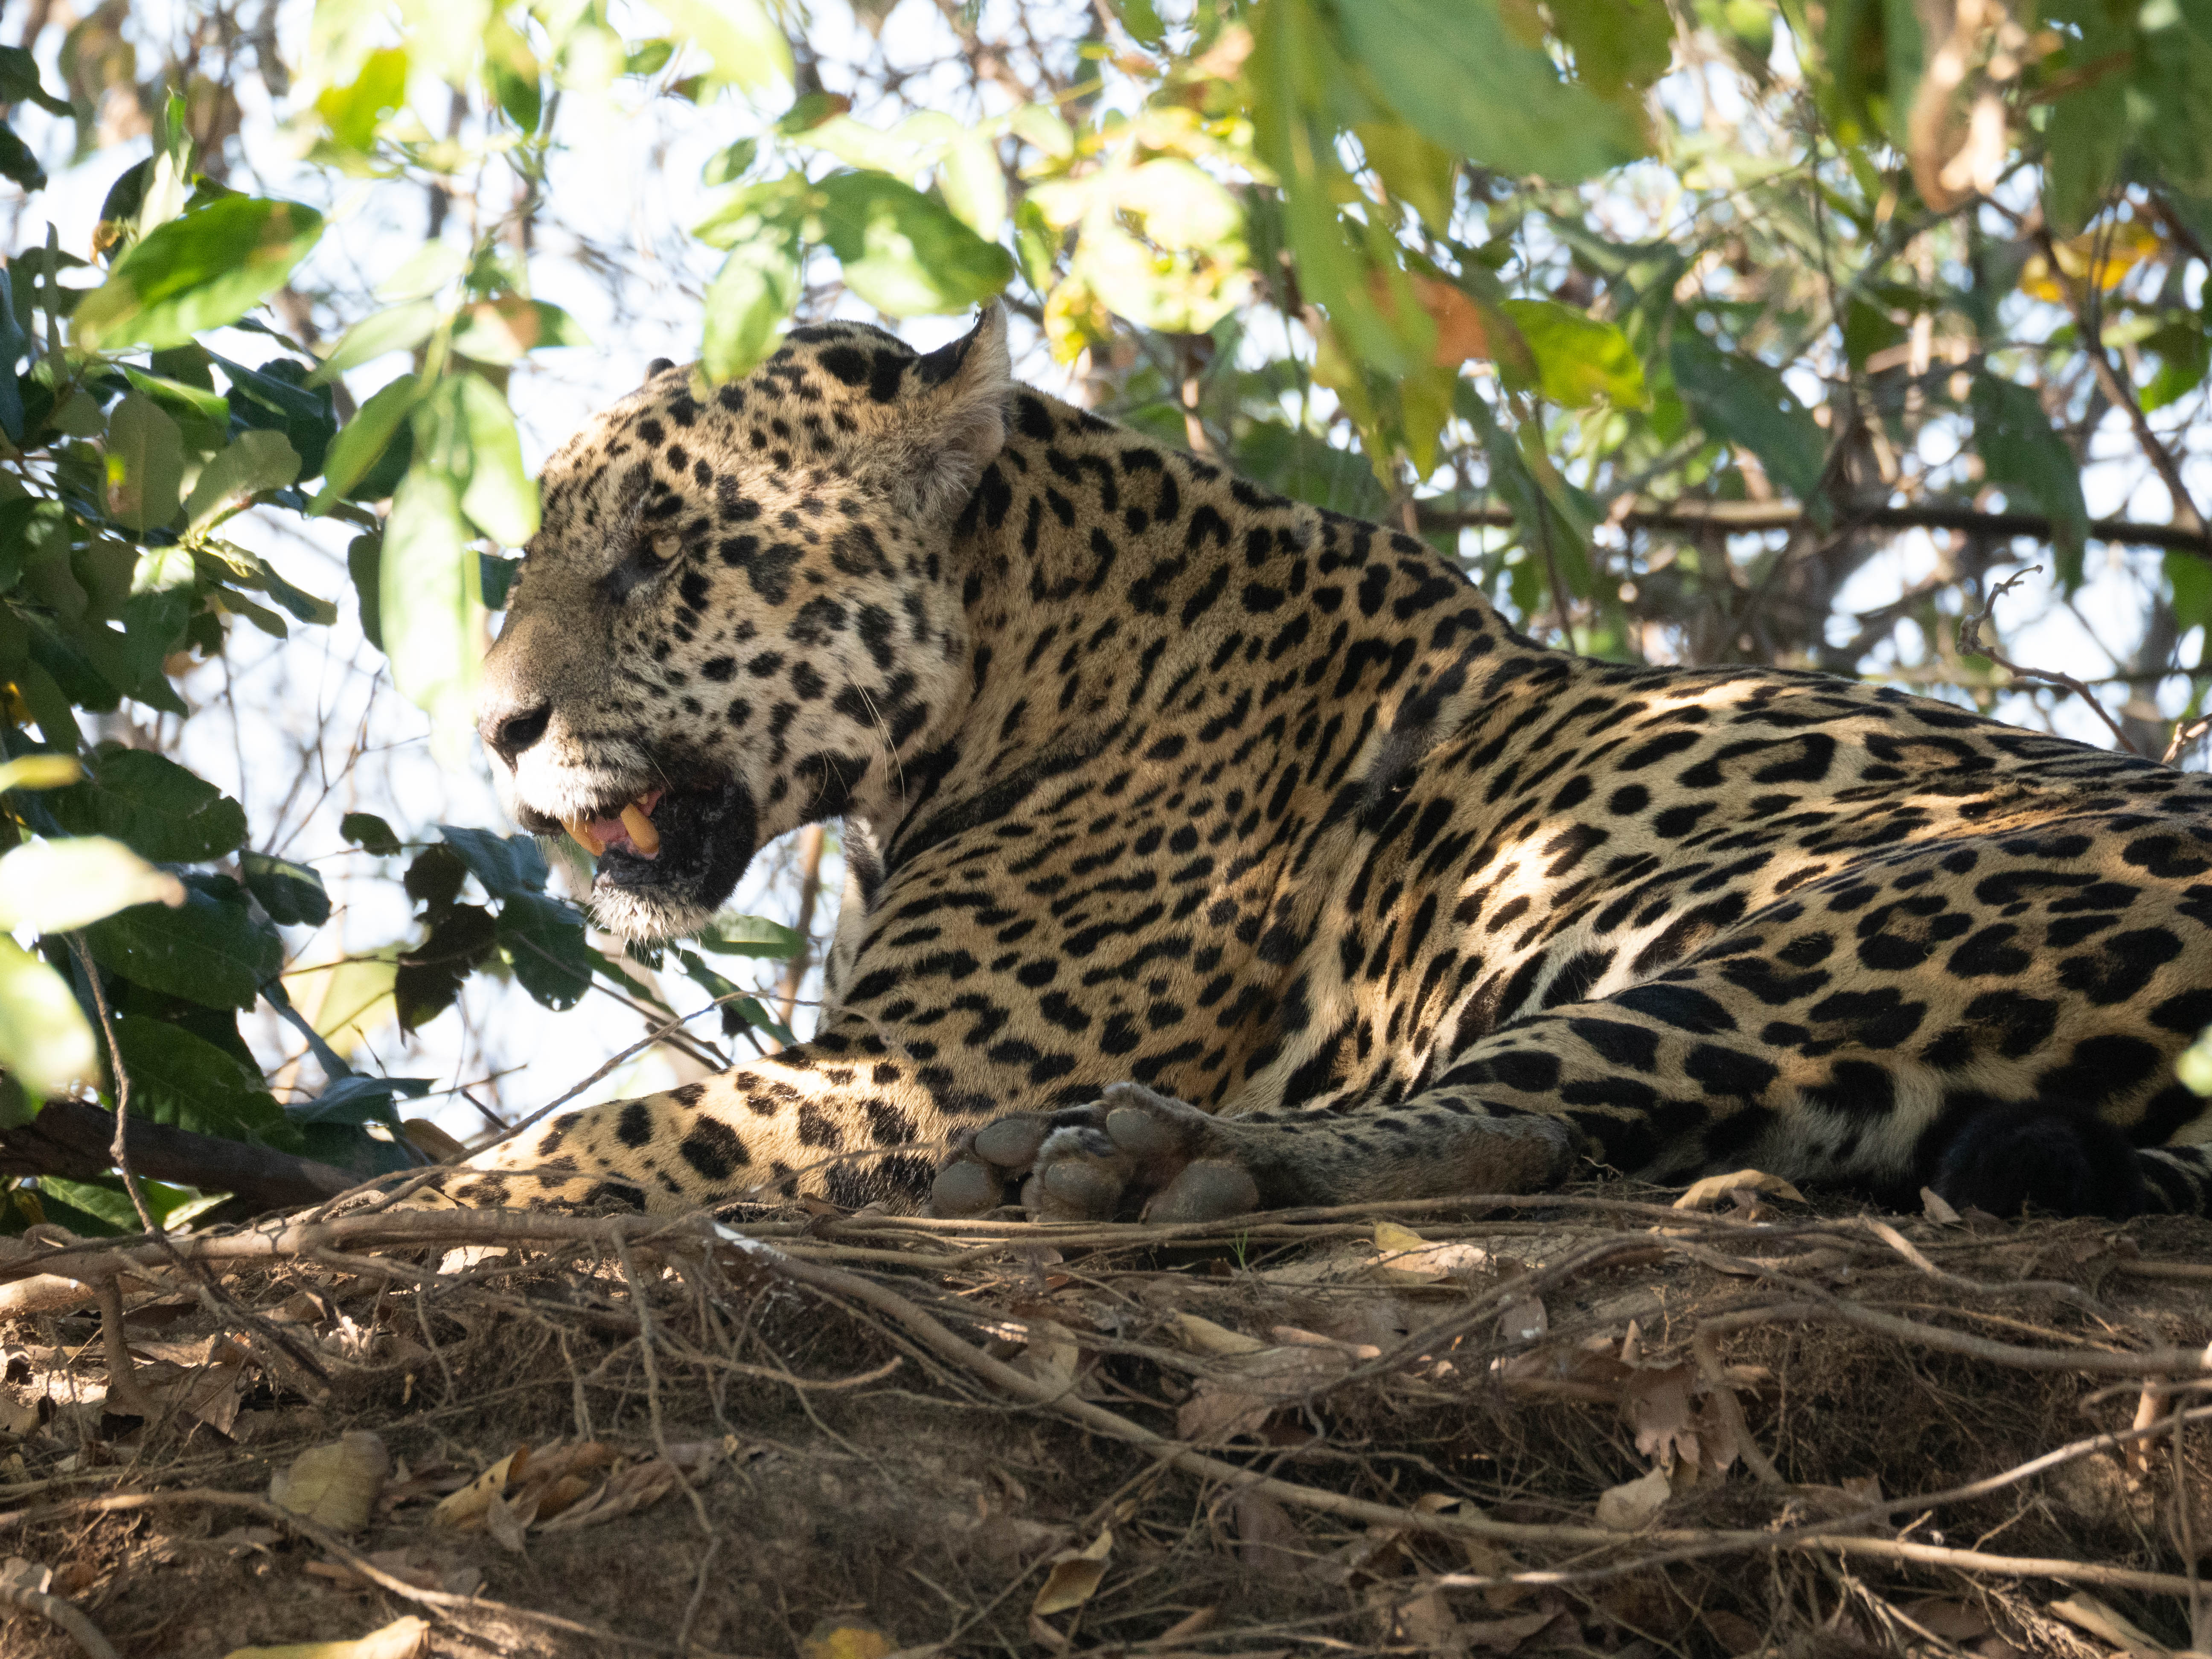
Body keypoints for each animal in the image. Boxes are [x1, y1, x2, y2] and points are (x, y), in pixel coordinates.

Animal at [453, 301, 2212, 1226]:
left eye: (662, 552)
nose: (493, 729)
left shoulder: (922, 1073)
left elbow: (577, 1148)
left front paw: (396, 1224)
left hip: (1864, 908)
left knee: (1520, 1124)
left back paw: (1156, 1160)